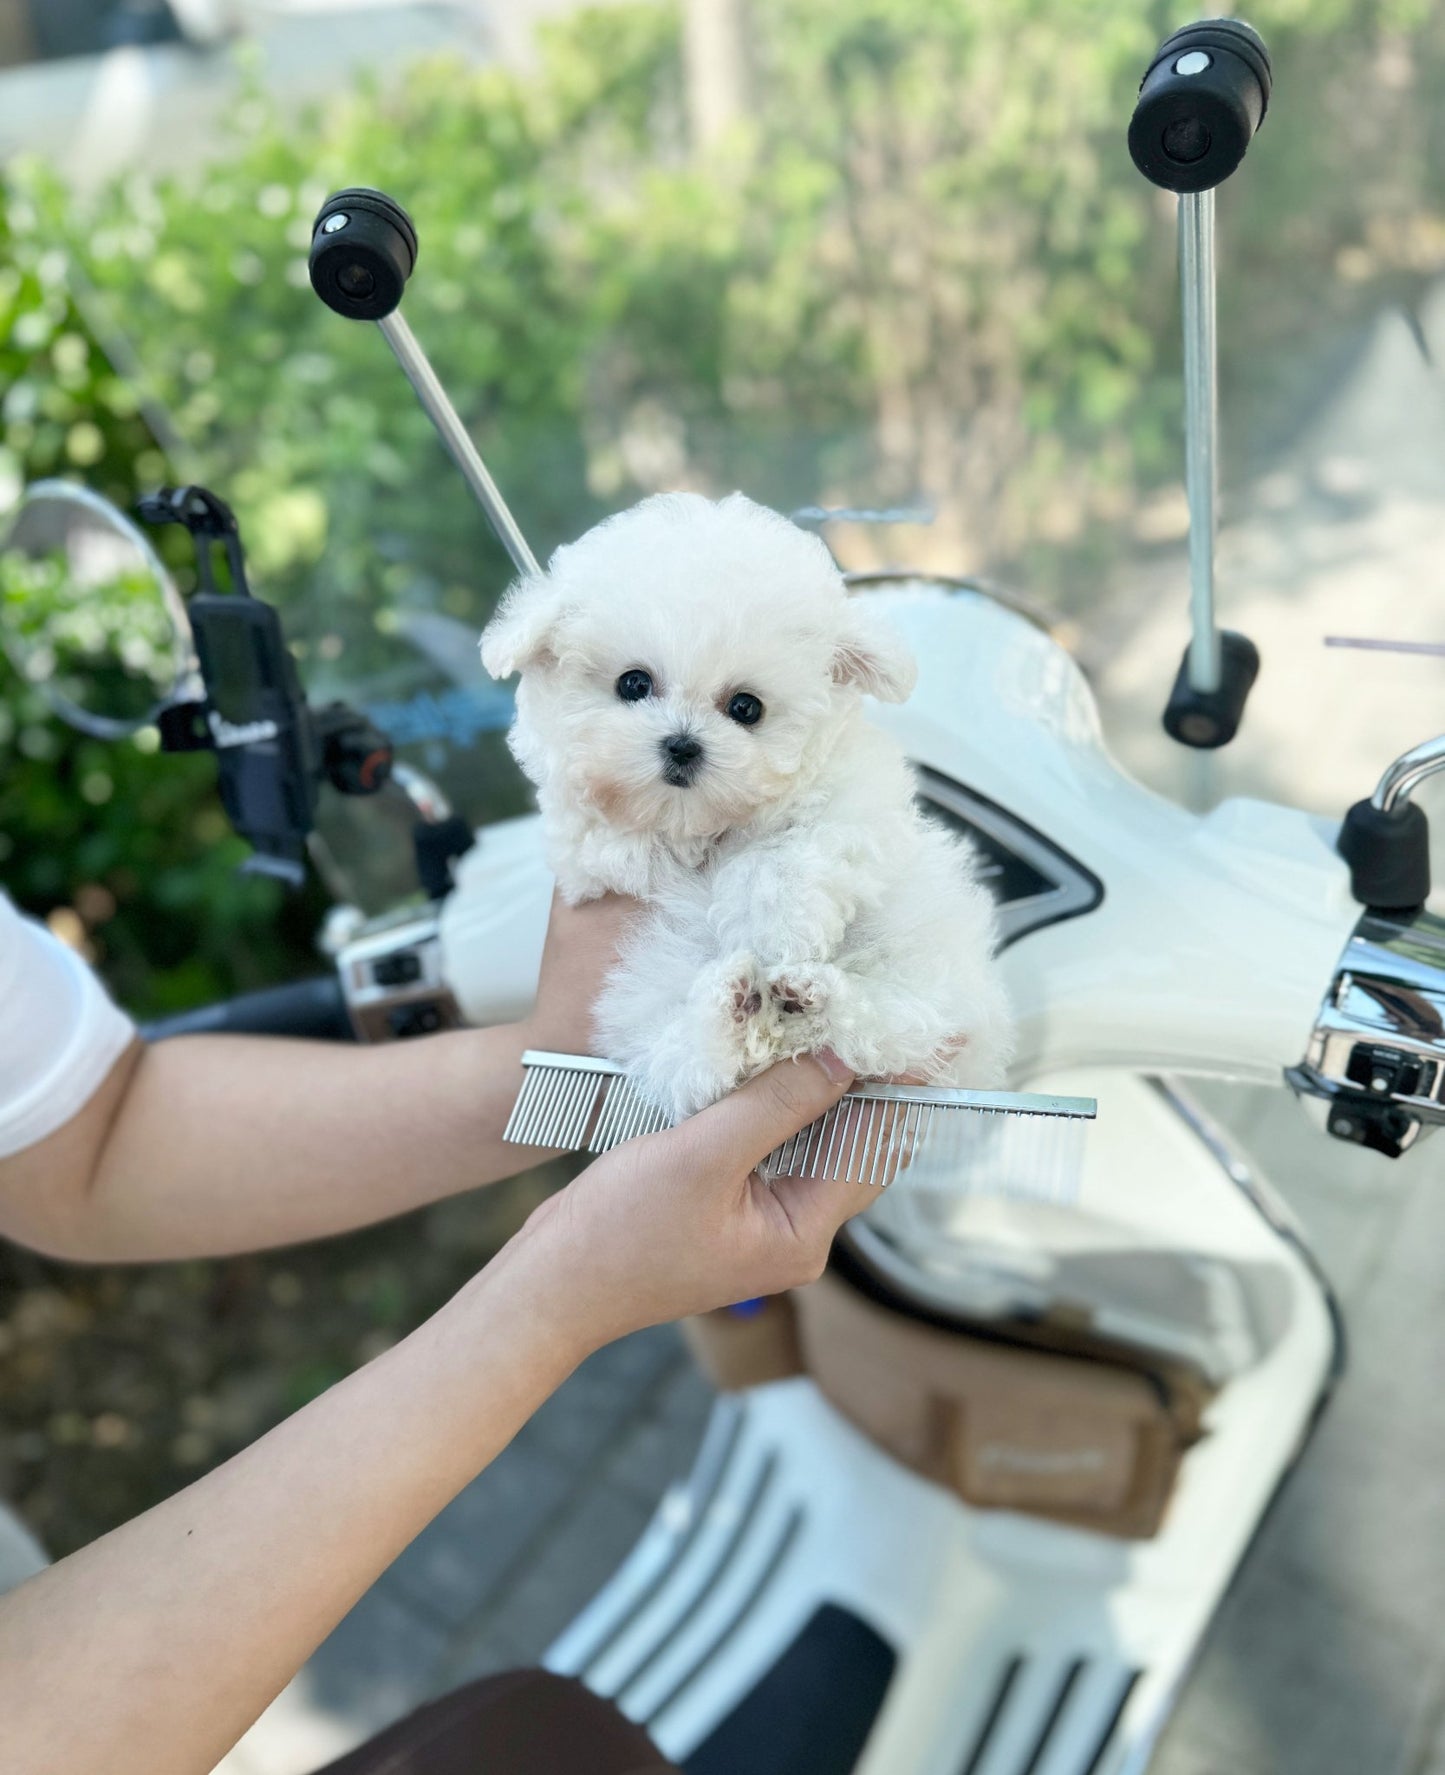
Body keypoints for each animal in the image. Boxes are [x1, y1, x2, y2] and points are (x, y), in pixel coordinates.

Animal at [479, 493, 1015, 1114]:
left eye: (746, 707)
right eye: (633, 684)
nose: (682, 744)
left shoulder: (856, 798)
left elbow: (787, 849)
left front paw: (773, 928)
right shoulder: (579, 837)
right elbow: (603, 833)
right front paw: (647, 849)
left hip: (932, 975)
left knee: (892, 1026)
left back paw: (808, 993)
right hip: (647, 1004)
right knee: (689, 1063)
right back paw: (734, 1009)